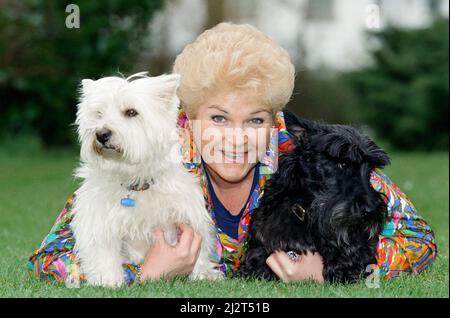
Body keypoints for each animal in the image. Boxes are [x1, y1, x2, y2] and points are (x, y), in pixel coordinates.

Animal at [71, 72, 222, 288]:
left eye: (131, 112)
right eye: (98, 113)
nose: (101, 134)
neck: (135, 181)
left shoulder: (187, 218)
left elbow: (200, 251)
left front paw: (202, 274)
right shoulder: (99, 224)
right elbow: (104, 255)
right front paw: (108, 282)